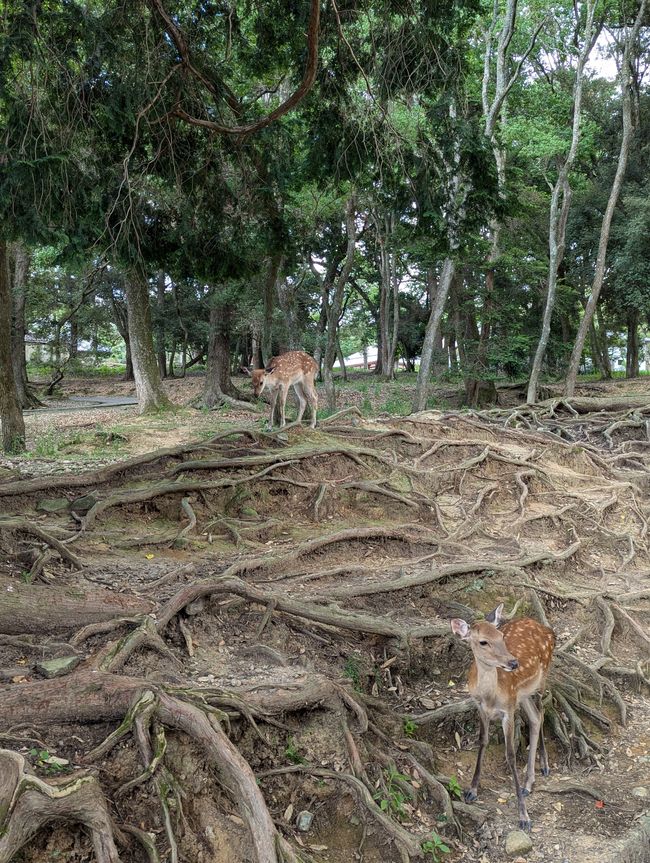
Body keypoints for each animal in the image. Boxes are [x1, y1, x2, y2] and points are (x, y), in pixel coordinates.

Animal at [448, 600, 556, 832]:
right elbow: (482, 741)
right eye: (483, 642)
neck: (490, 697)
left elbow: (510, 754)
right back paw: (528, 783)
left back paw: (543, 766)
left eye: (501, 636)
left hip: (541, 678)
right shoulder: (479, 706)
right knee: (535, 718)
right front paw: (471, 791)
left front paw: (524, 816)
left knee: (542, 712)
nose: (514, 663)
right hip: (522, 695)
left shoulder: (508, 710)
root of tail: (548, 630)